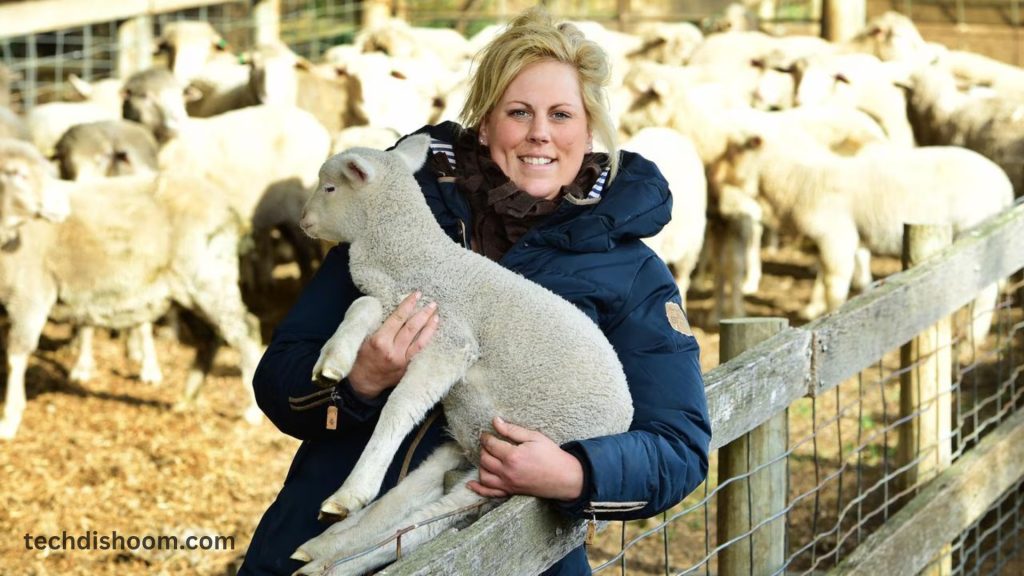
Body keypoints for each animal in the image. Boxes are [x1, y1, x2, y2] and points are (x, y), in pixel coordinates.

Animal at [0, 138, 264, 439]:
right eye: (17, 173)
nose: (61, 206)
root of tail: (228, 208)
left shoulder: (29, 296)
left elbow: (15, 356)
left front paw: (9, 421)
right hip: (188, 291)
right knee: (210, 337)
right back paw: (187, 398)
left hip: (208, 275)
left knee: (246, 330)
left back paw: (252, 411)